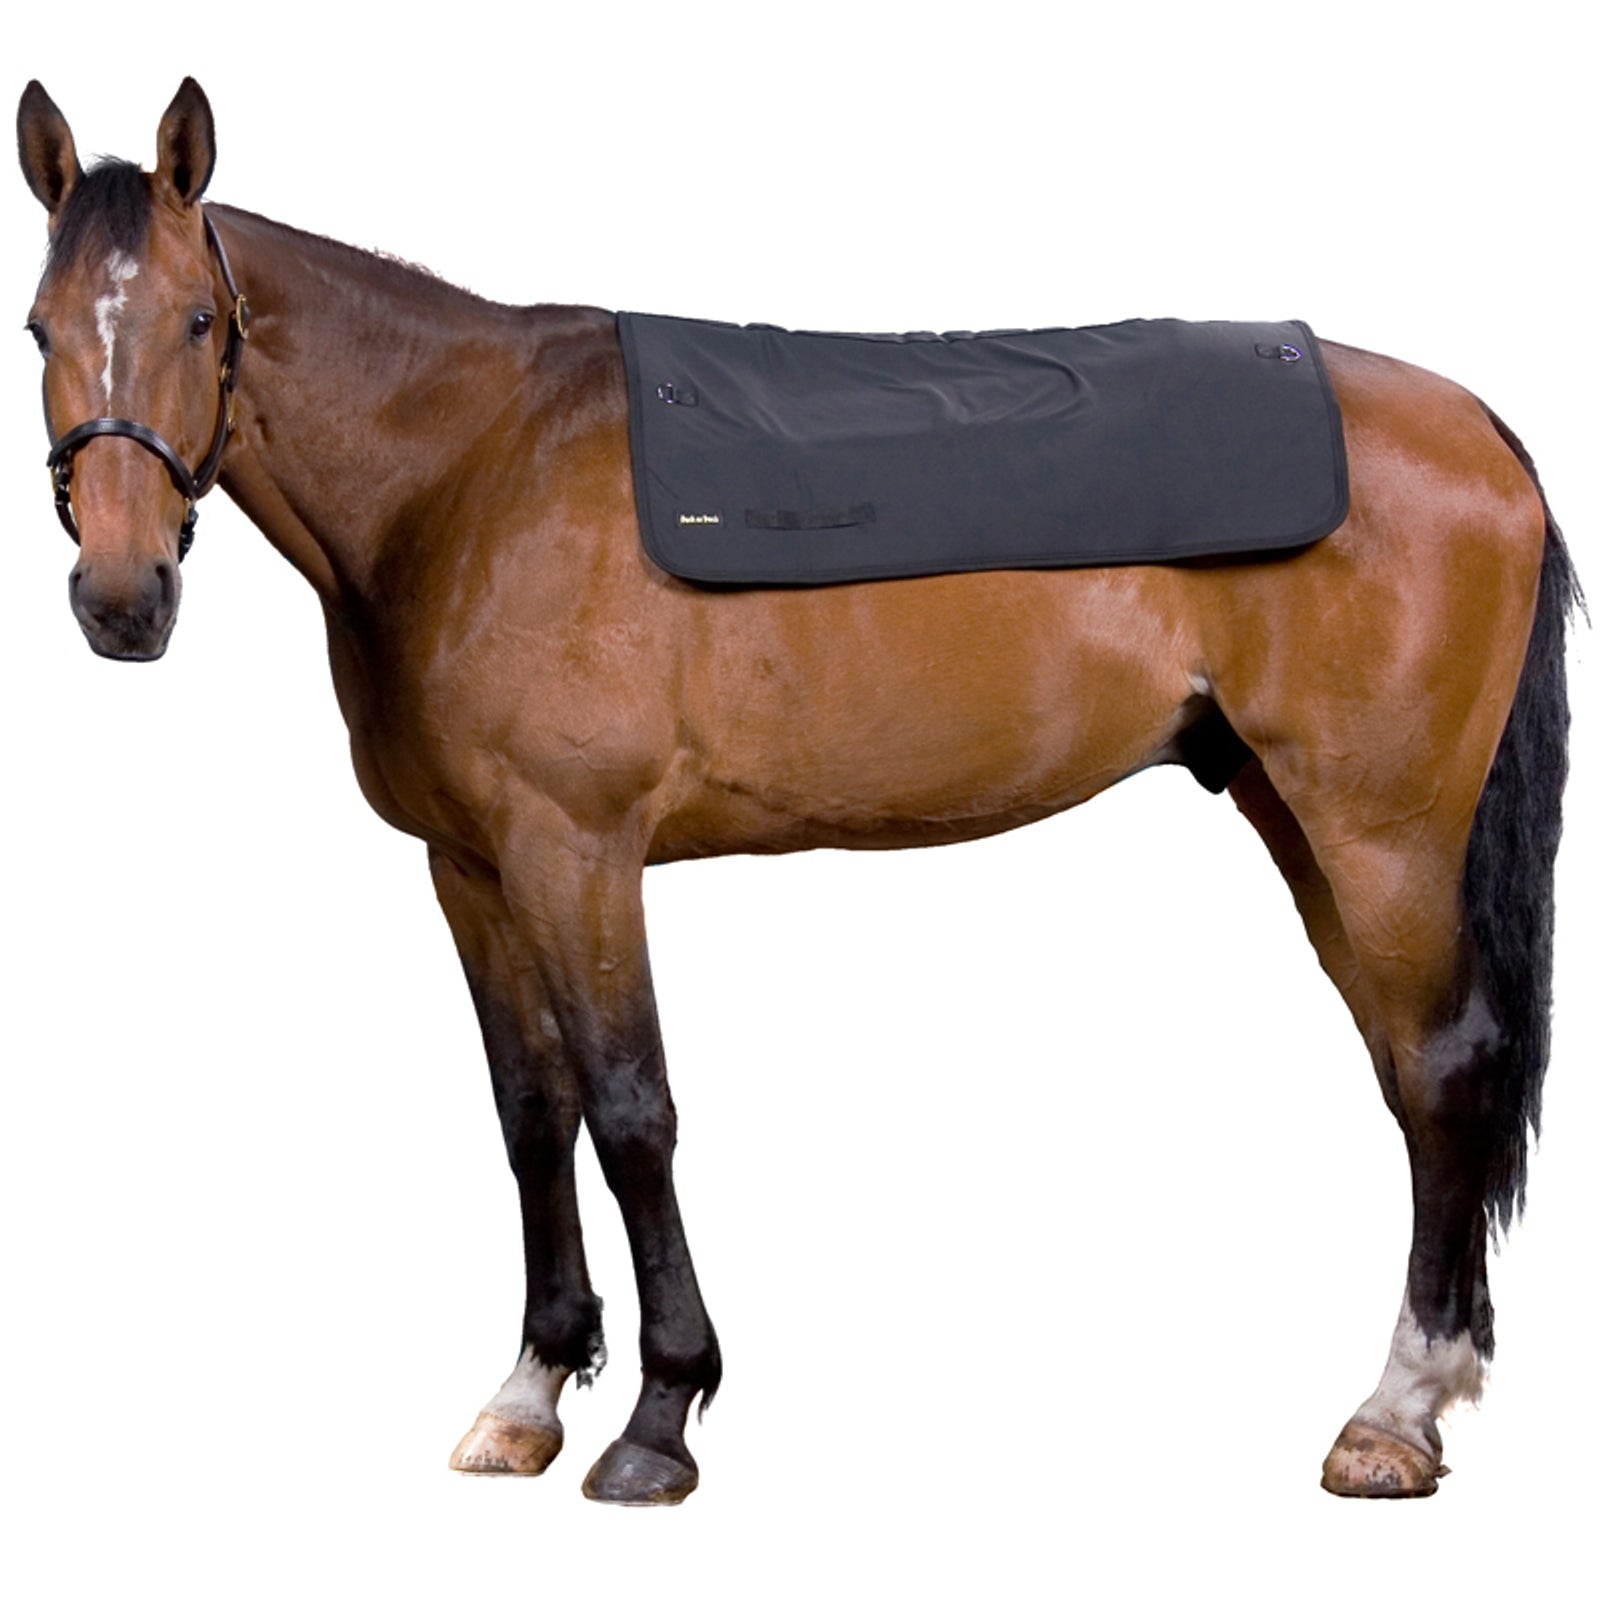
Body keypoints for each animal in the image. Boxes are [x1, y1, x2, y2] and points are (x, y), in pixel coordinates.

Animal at [16, 77, 1577, 1505]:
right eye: (36, 328)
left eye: (200, 323)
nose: (121, 600)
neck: (464, 472)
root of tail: (1478, 428)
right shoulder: (471, 869)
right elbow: (530, 1117)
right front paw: (530, 1391)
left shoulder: (577, 851)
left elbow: (629, 1110)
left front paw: (658, 1418)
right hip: (1303, 824)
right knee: (1413, 1074)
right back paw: (1426, 1387)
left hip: (1379, 834)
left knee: (1446, 1067)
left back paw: (1393, 1416)